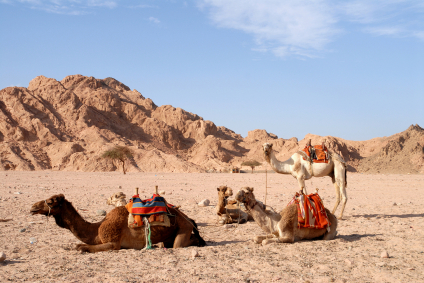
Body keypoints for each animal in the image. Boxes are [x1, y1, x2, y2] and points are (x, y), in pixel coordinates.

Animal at [29, 195, 205, 253]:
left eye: (50, 201)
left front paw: (81, 248)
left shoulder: (113, 242)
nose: (33, 207)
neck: (96, 228)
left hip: (184, 227)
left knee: (180, 244)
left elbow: (82, 247)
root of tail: (188, 219)